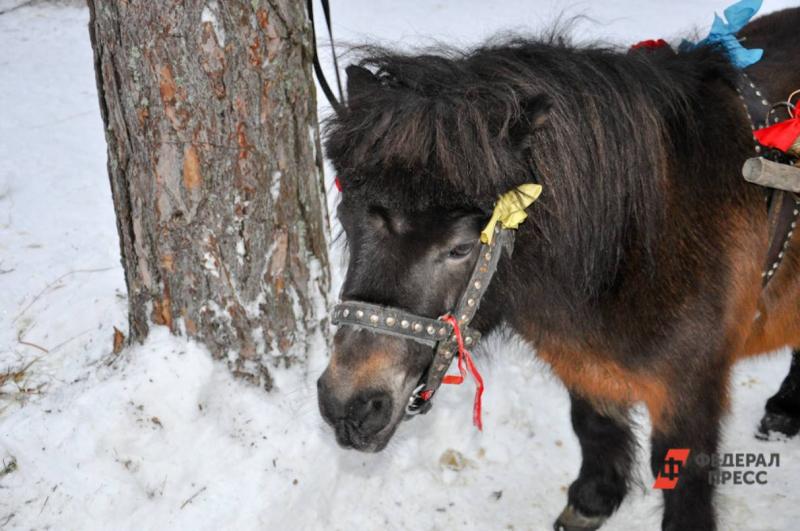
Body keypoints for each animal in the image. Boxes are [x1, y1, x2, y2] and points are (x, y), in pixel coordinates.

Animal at [316, 8, 800, 531]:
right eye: (345, 217)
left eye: (461, 248)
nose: (348, 405)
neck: (641, 238)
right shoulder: (580, 357)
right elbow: (594, 425)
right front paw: (593, 499)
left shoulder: (691, 390)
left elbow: (683, 475)